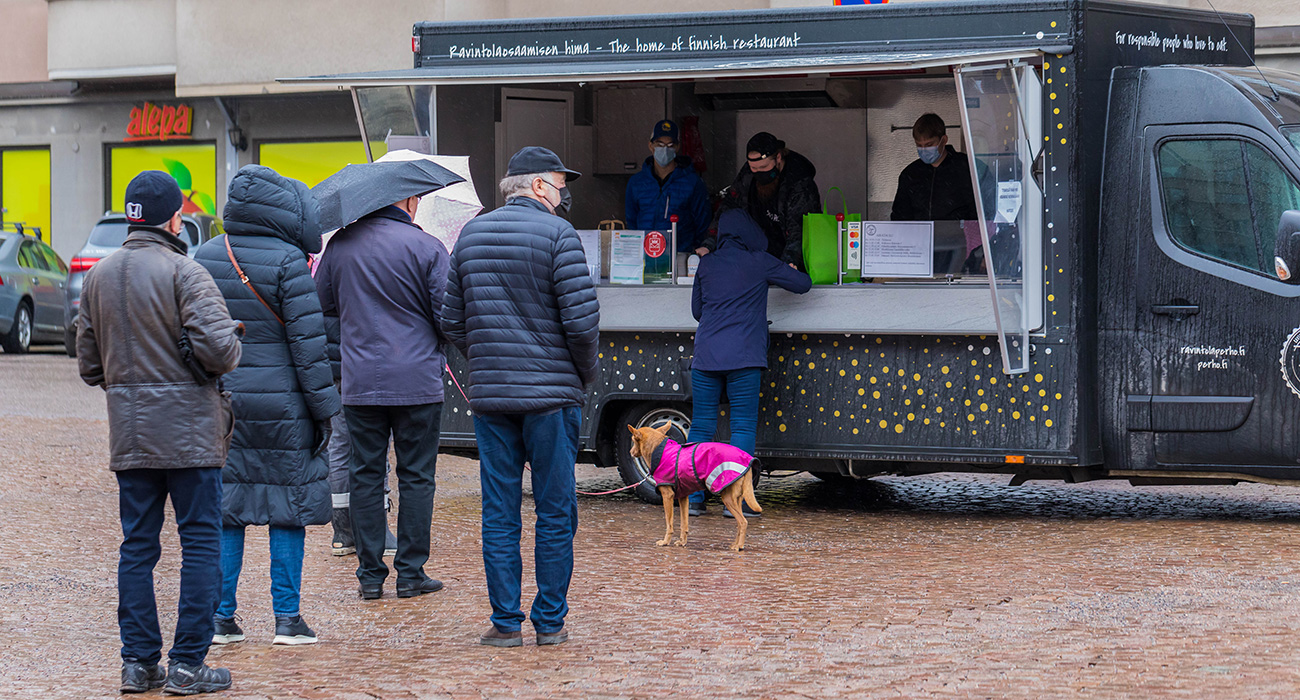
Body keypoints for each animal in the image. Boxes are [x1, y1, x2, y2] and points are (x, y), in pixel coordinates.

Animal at [626, 418, 759, 549]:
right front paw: (682, 542)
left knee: (743, 522)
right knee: (739, 523)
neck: (660, 449)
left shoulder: (667, 496)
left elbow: (669, 524)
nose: (630, 452)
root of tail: (748, 460)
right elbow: (684, 523)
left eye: (633, 440)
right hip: (737, 499)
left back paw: (739, 546)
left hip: (728, 498)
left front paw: (665, 541)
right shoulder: (683, 497)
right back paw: (735, 544)